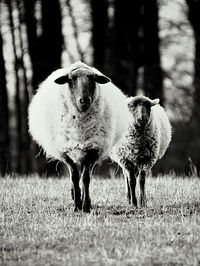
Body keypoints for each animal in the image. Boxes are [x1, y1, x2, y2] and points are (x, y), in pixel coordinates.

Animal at [28, 60, 131, 212]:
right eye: (71, 80)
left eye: (93, 80)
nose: (84, 100)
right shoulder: (66, 151)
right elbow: (75, 177)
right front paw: (77, 205)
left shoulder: (93, 149)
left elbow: (86, 178)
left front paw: (86, 205)